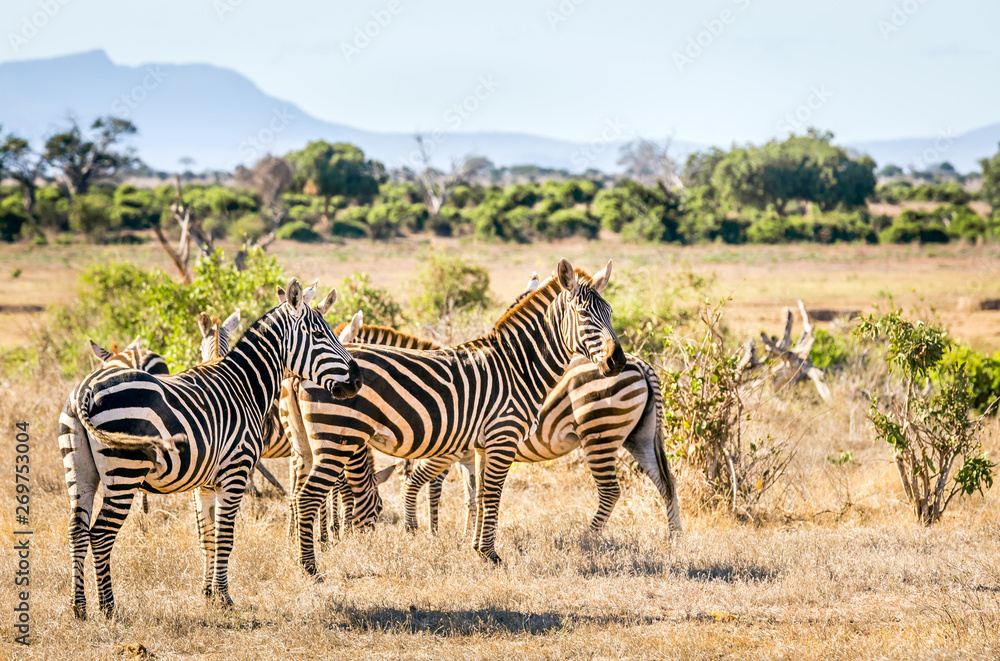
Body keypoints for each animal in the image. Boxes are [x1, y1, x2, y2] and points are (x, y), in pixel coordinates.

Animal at [63, 278, 361, 619]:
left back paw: (79, 608)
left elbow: (207, 537)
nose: (358, 380)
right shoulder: (235, 472)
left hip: (79, 472)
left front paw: (207, 593)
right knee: (100, 534)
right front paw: (224, 597)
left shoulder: (205, 482)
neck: (245, 386)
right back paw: (109, 608)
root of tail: (85, 391)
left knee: (76, 531)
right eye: (318, 335)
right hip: (124, 471)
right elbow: (225, 538)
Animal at [283, 258, 625, 573]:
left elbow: (481, 495)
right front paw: (491, 555)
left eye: (609, 313)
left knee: (299, 494)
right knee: (308, 497)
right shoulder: (503, 436)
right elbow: (492, 494)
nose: (617, 361)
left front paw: (477, 549)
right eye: (583, 314)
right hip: (337, 439)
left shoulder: (483, 444)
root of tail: (302, 372)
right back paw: (310, 569)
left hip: (311, 445)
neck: (517, 368)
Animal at [341, 276, 683, 537]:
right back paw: (673, 540)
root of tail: (639, 364)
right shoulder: (468, 453)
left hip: (600, 432)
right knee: (665, 482)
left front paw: (424, 532)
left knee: (611, 490)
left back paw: (588, 538)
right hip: (637, 436)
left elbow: (423, 485)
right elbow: (473, 495)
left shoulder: (448, 451)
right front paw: (465, 535)